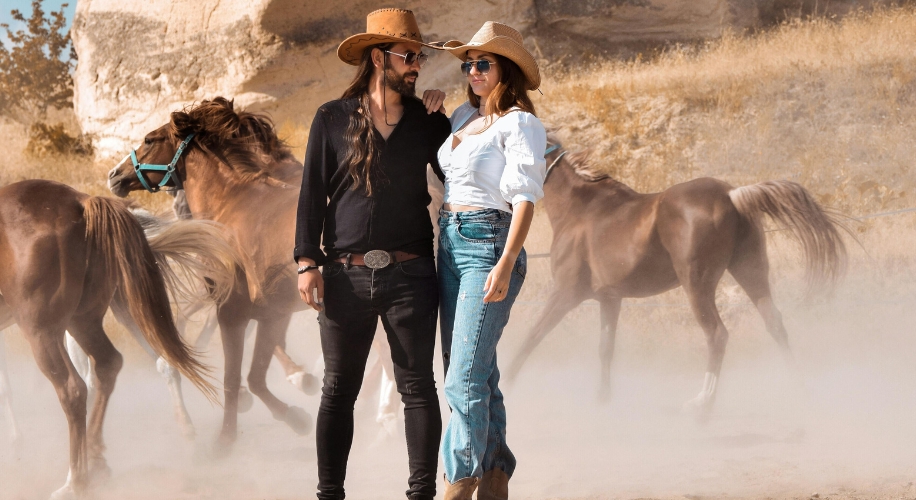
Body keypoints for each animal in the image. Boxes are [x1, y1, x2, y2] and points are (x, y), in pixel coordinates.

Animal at [0, 179, 220, 496]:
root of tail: (83, 203)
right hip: (87, 320)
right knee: (114, 365)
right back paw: (99, 462)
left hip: (44, 331)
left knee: (74, 389)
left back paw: (76, 482)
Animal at [504, 144, 848, 414]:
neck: (580, 208)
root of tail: (730, 194)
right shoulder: (610, 298)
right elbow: (605, 348)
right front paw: (603, 400)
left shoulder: (565, 294)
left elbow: (531, 336)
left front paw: (507, 385)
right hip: (750, 271)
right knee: (775, 323)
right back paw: (798, 392)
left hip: (697, 284)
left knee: (717, 335)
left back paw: (701, 404)